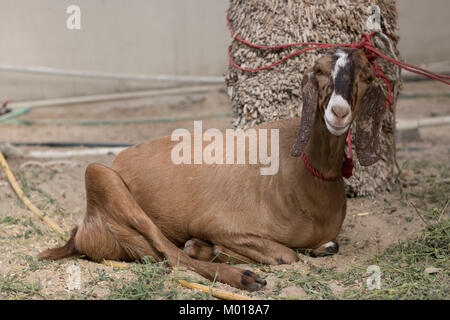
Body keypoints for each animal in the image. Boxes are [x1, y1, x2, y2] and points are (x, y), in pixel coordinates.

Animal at [39, 47, 386, 290]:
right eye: (319, 70)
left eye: (366, 76)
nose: (338, 112)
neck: (304, 179)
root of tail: (80, 234)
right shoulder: (219, 224)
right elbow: (287, 254)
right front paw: (210, 249)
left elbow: (328, 245)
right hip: (101, 176)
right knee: (172, 257)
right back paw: (244, 277)